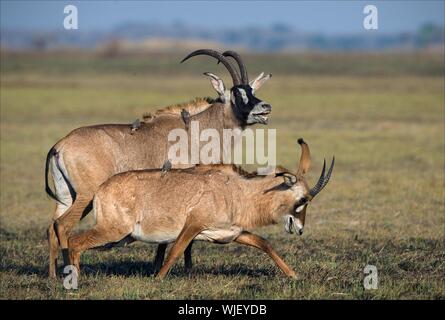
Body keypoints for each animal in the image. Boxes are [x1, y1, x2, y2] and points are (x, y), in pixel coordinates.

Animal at [46, 49, 274, 278]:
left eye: (252, 90)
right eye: (237, 94)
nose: (265, 107)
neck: (197, 129)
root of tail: (60, 145)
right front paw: (181, 269)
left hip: (67, 197)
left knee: (53, 227)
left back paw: (54, 275)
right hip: (85, 196)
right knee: (63, 225)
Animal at [68, 139, 332, 278]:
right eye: (303, 200)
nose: (300, 229)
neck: (236, 191)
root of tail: (101, 189)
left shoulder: (232, 234)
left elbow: (265, 244)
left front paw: (293, 275)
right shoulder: (193, 225)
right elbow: (175, 251)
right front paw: (158, 279)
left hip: (119, 238)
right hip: (114, 232)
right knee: (74, 241)